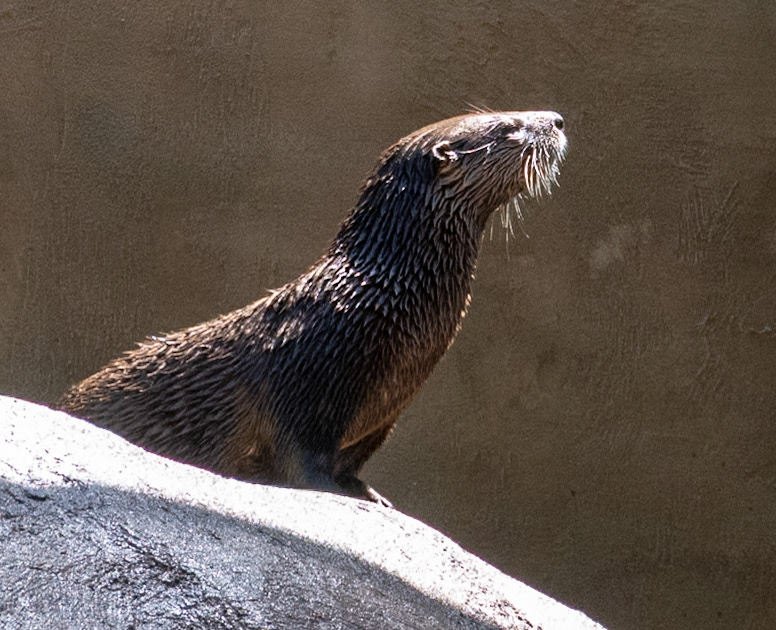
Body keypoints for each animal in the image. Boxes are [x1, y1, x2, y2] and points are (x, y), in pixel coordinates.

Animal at [59, 111, 567, 505]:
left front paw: (370, 494)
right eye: (509, 126)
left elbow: (351, 464)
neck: (372, 297)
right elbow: (297, 462)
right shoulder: (305, 381)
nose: (558, 120)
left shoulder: (383, 415)